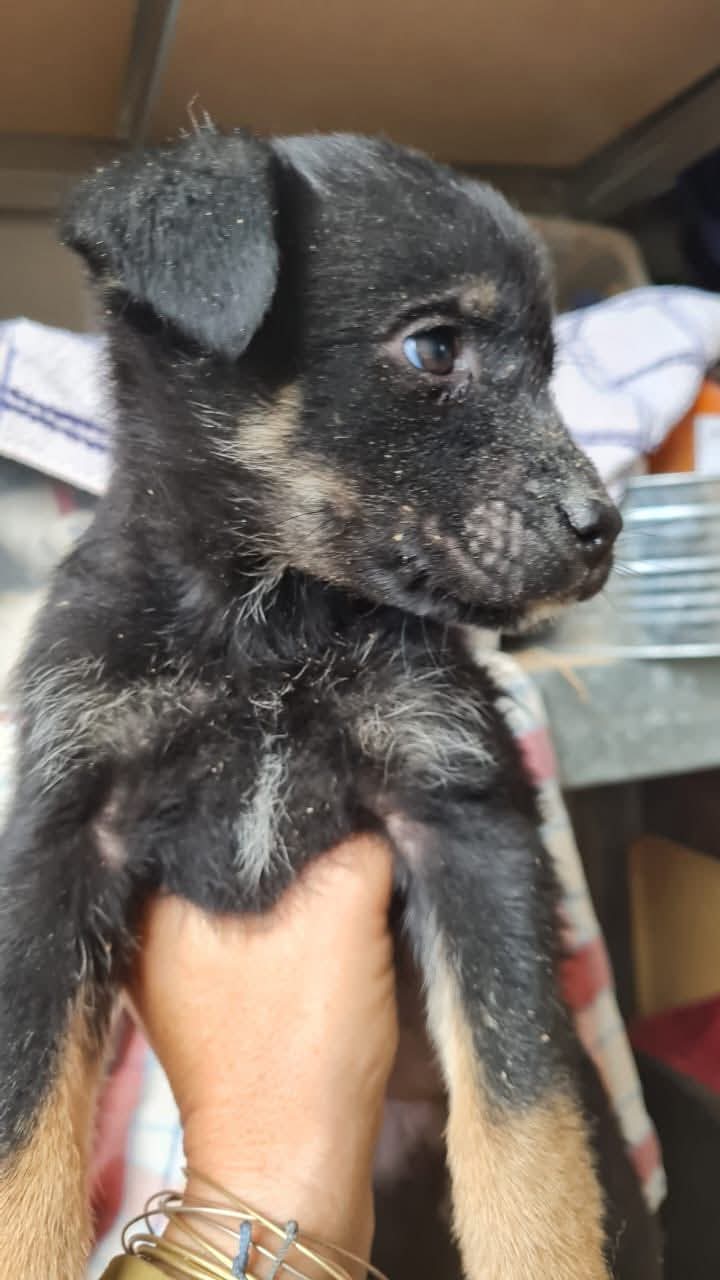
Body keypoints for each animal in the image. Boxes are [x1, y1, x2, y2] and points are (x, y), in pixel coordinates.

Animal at [0, 127, 660, 1279]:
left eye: (550, 368)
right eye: (434, 349)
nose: (604, 530)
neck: (268, 630)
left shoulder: (465, 816)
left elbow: (525, 1127)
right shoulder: (62, 829)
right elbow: (25, 1121)